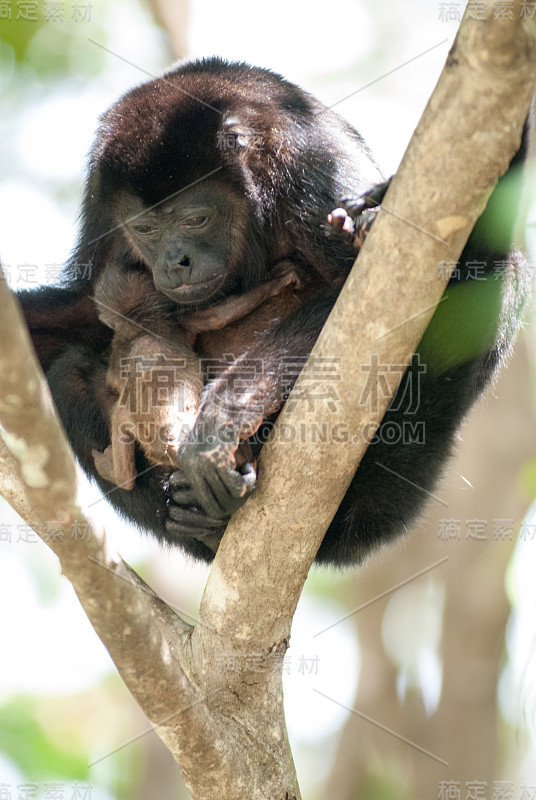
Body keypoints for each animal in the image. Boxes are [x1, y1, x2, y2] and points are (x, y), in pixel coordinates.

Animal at [17, 57, 532, 564]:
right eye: (144, 229)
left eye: (196, 218)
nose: (174, 262)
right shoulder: (101, 208)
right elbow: (88, 311)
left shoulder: (308, 164)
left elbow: (371, 302)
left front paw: (220, 422)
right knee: (69, 373)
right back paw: (198, 520)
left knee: (500, 269)